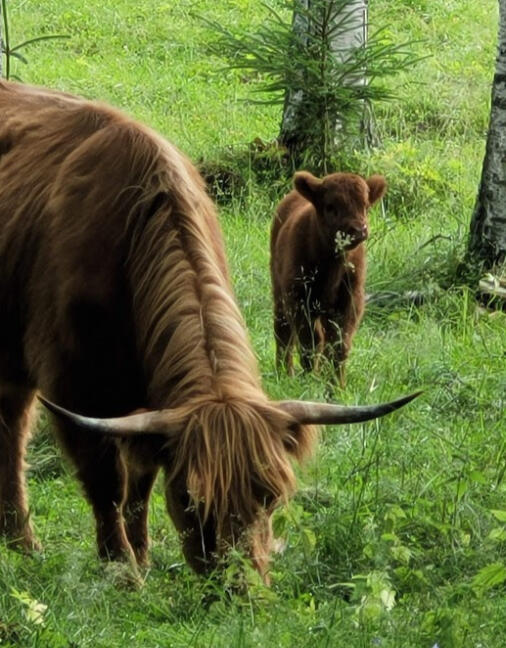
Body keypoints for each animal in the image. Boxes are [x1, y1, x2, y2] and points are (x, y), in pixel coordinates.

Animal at [271, 171, 387, 385]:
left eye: (365, 205)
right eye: (331, 206)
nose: (358, 230)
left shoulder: (350, 302)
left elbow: (340, 344)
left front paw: (336, 386)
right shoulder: (299, 300)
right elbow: (309, 342)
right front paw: (310, 379)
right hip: (279, 293)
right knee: (283, 332)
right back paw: (284, 373)